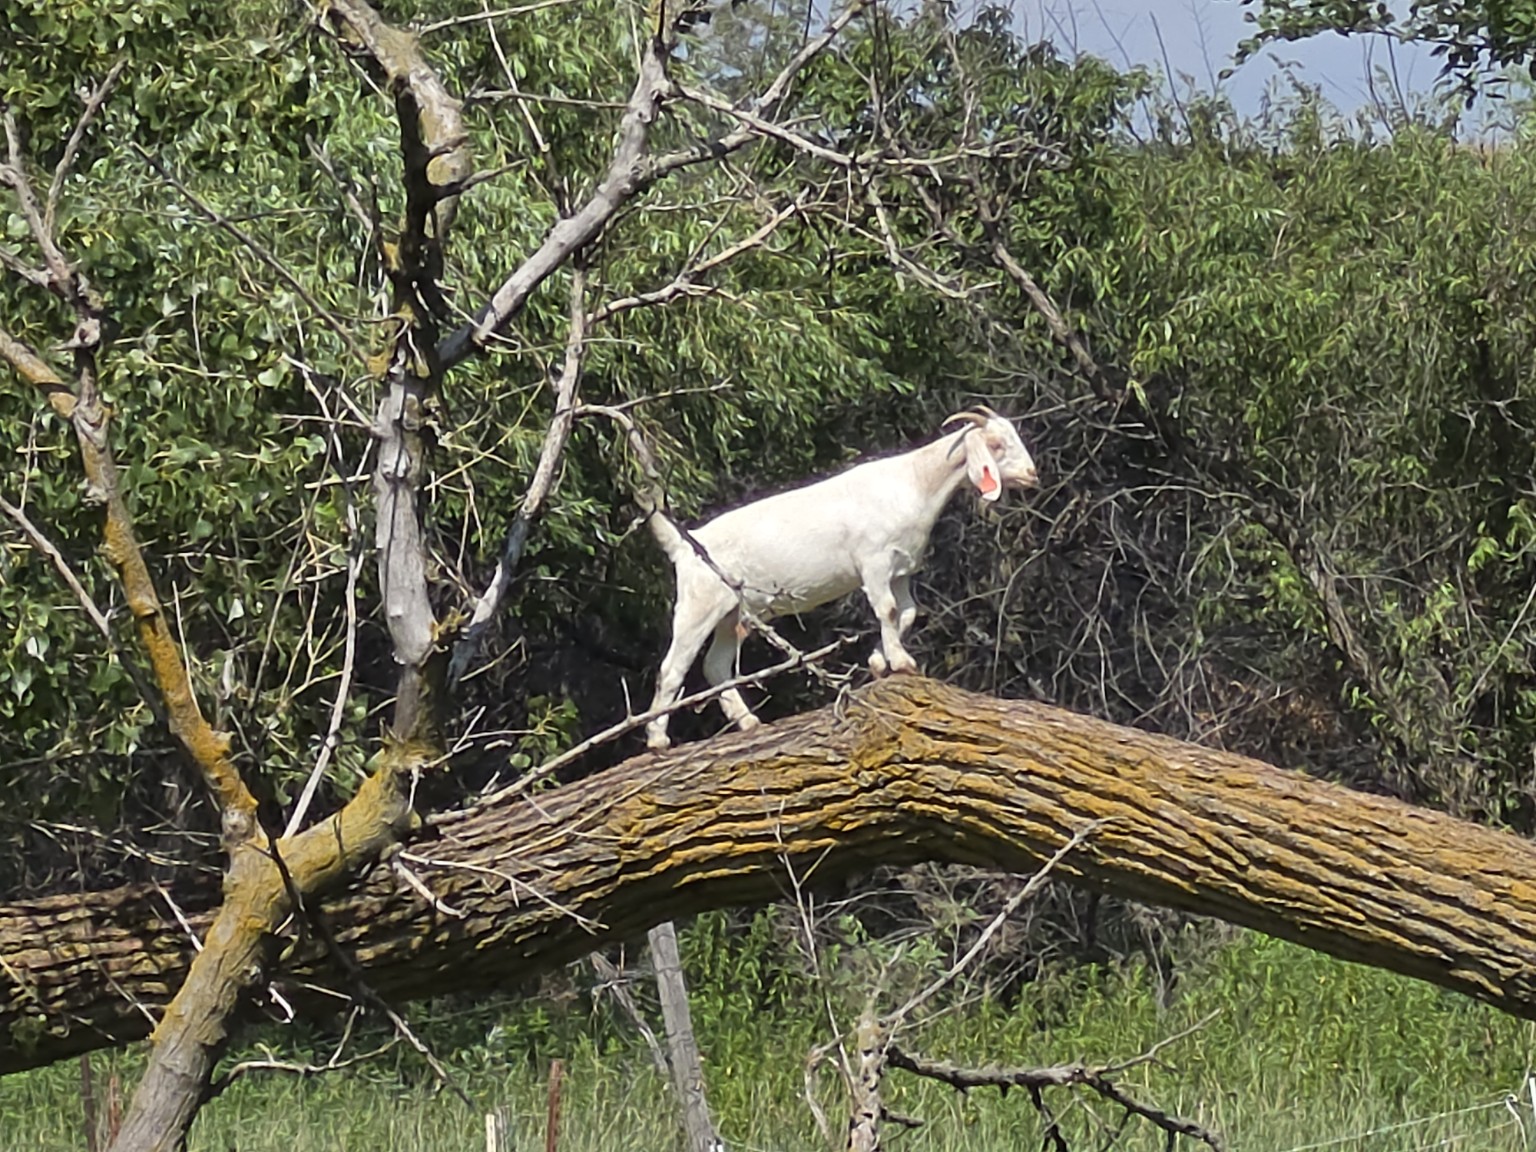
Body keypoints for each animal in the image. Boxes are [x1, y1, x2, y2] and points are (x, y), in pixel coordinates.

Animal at [643, 407, 1038, 749]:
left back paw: (748, 722)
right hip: (700, 604)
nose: (1032, 474)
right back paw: (658, 740)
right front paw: (902, 663)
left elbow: (907, 612)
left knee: (716, 665)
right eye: (996, 444)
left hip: (732, 613)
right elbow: (888, 609)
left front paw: (881, 662)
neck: (915, 482)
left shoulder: (901, 569)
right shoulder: (874, 562)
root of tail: (686, 544)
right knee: (672, 668)